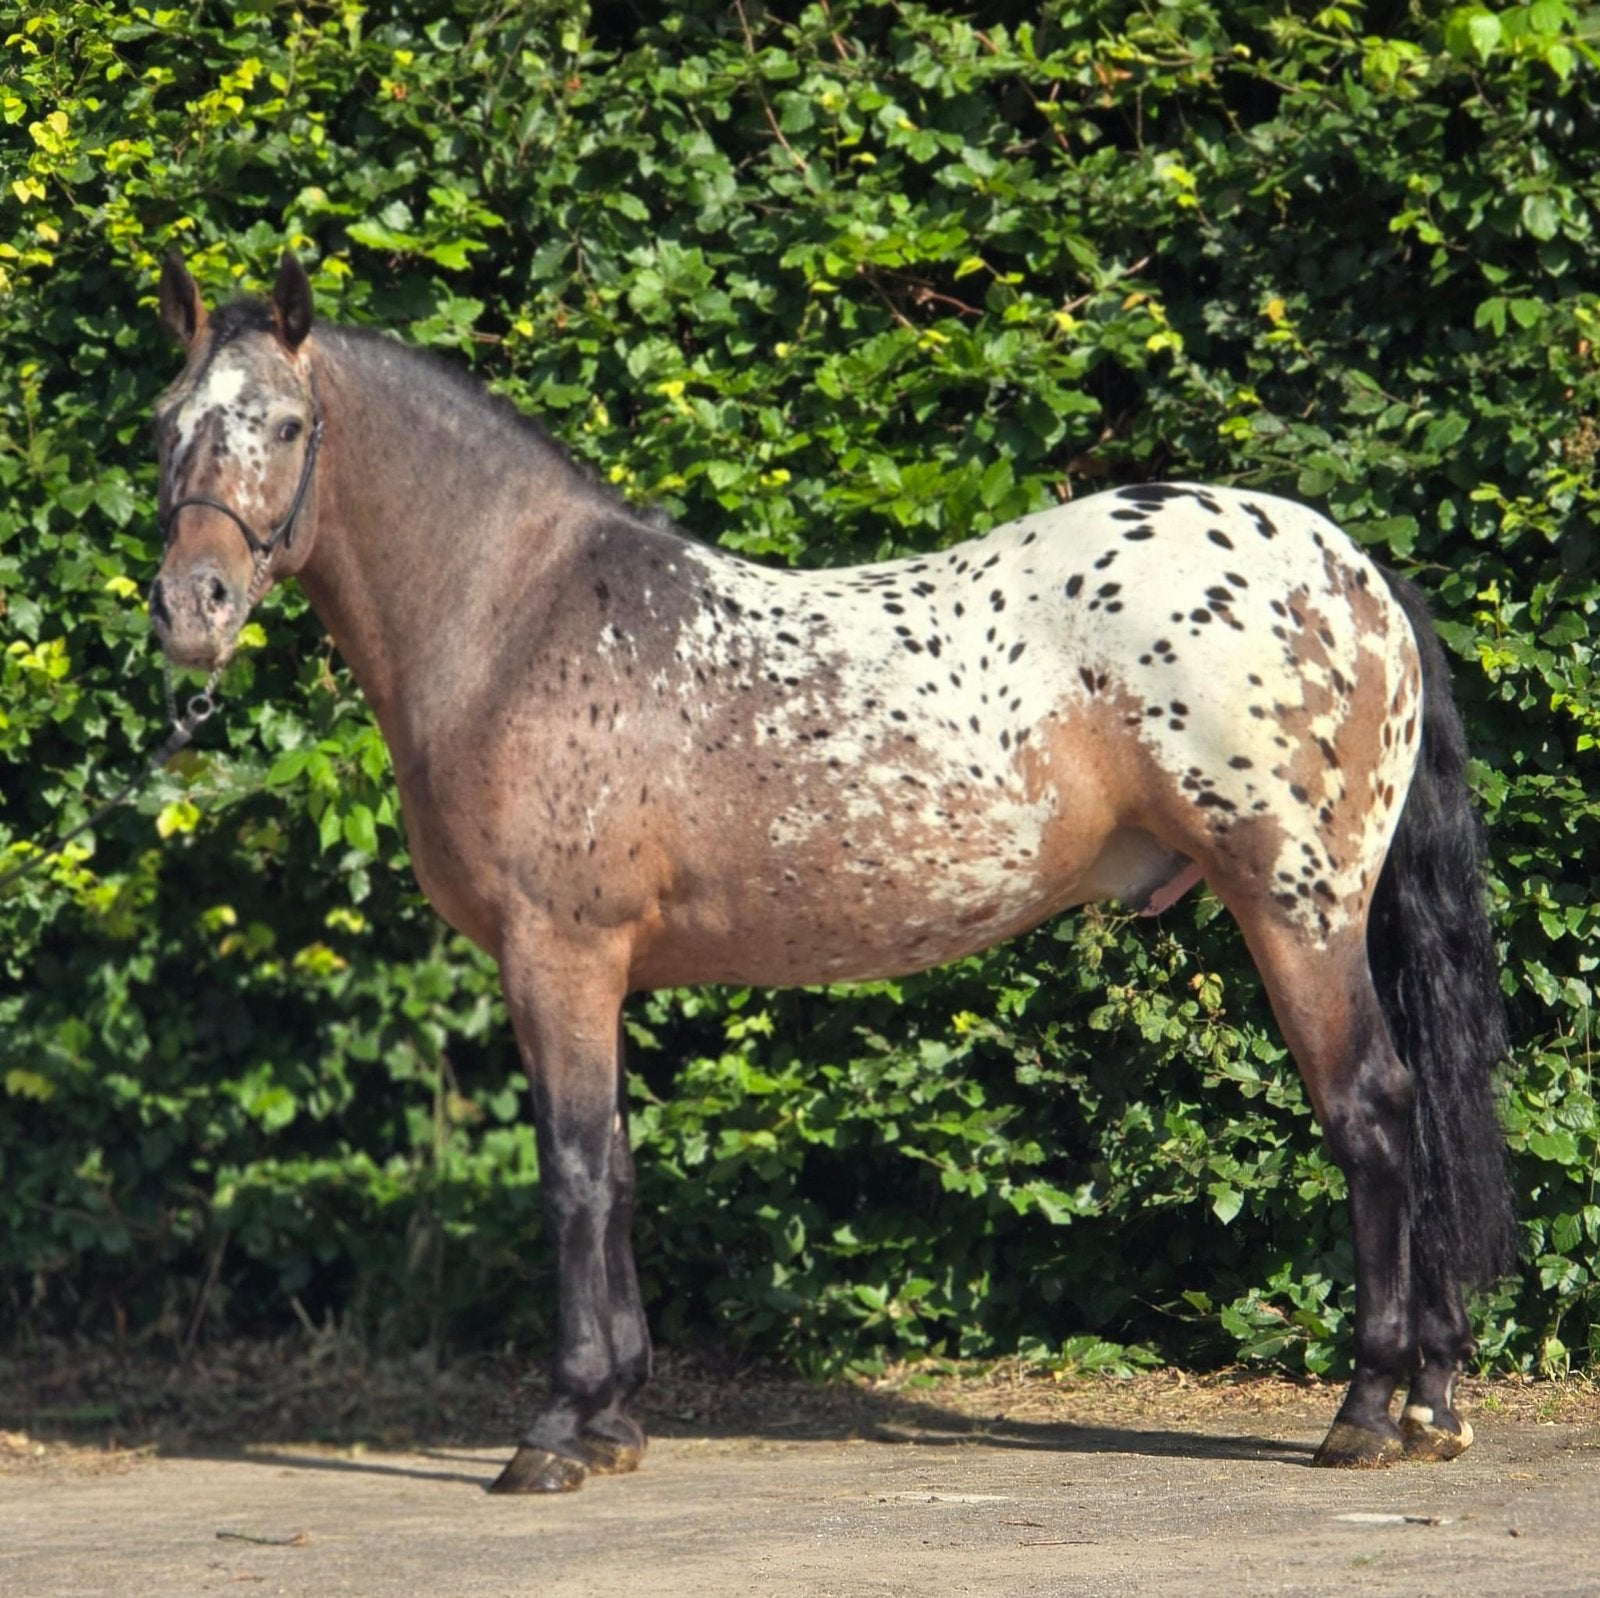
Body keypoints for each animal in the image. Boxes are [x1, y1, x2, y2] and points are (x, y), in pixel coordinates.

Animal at [146, 251, 1516, 1492]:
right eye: (165, 425)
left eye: (286, 425)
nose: (190, 607)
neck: (522, 618)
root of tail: (1354, 574)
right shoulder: (594, 971)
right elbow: (621, 1171)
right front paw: (618, 1417)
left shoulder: (558, 953)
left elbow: (574, 1174)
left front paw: (558, 1428)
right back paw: (1433, 1398)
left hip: (1296, 906)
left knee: (1373, 1113)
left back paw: (1366, 1407)